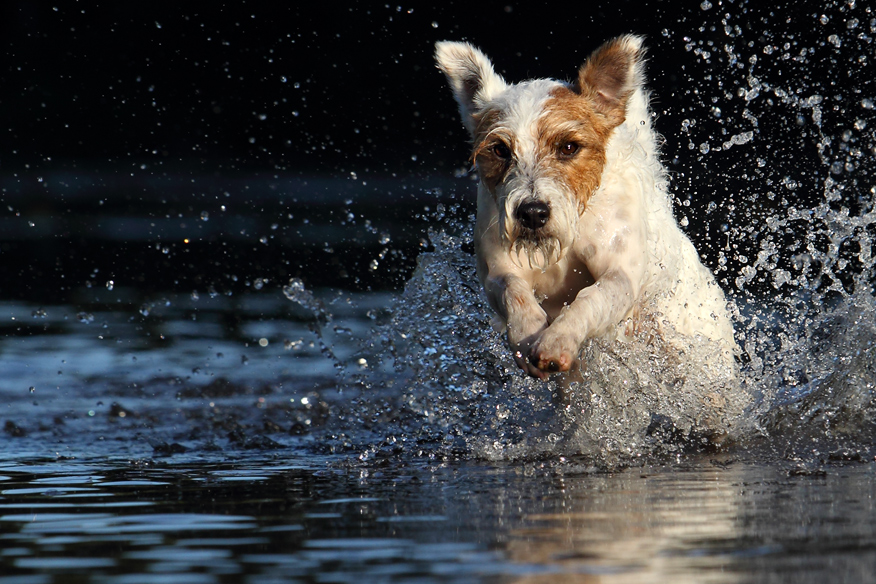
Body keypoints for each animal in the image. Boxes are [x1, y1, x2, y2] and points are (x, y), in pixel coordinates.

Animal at [434, 36, 736, 384]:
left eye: (569, 147)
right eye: (500, 149)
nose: (533, 213)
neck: (573, 226)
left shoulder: (620, 274)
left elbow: (590, 299)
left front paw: (558, 340)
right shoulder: (497, 268)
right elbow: (513, 290)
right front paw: (527, 331)